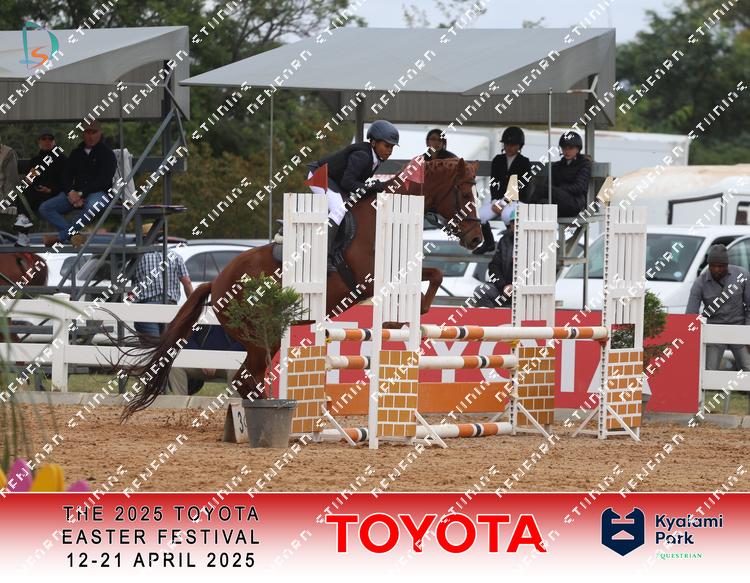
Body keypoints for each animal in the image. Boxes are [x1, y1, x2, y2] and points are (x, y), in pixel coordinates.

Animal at [122, 158, 482, 418]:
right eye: (465, 194)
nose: (477, 239)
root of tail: (216, 282)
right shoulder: (369, 277)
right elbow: (422, 281)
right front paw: (411, 312)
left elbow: (436, 273)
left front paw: (417, 311)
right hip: (261, 336)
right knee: (246, 378)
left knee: (246, 378)